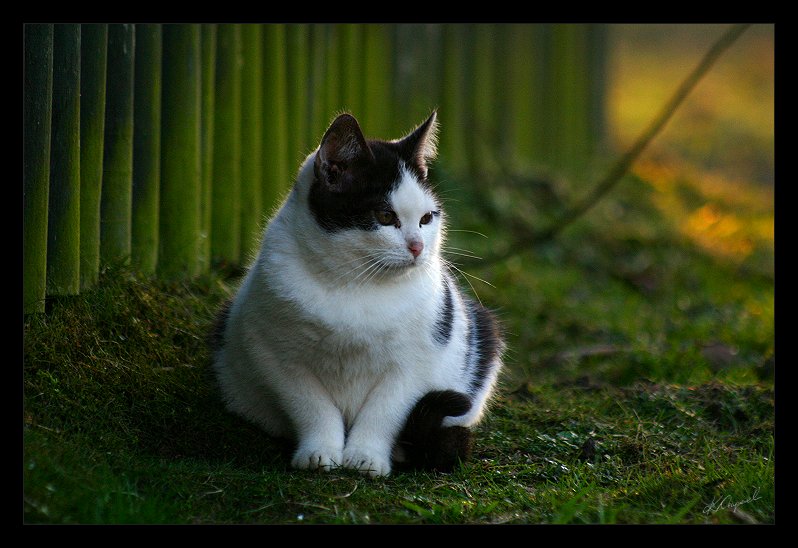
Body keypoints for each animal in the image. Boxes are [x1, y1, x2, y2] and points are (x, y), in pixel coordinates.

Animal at [209, 111, 504, 476]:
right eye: (385, 216)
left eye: (426, 218)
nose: (418, 247)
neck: (354, 283)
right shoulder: (274, 355)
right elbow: (311, 405)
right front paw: (320, 451)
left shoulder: (414, 365)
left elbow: (385, 412)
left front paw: (367, 457)